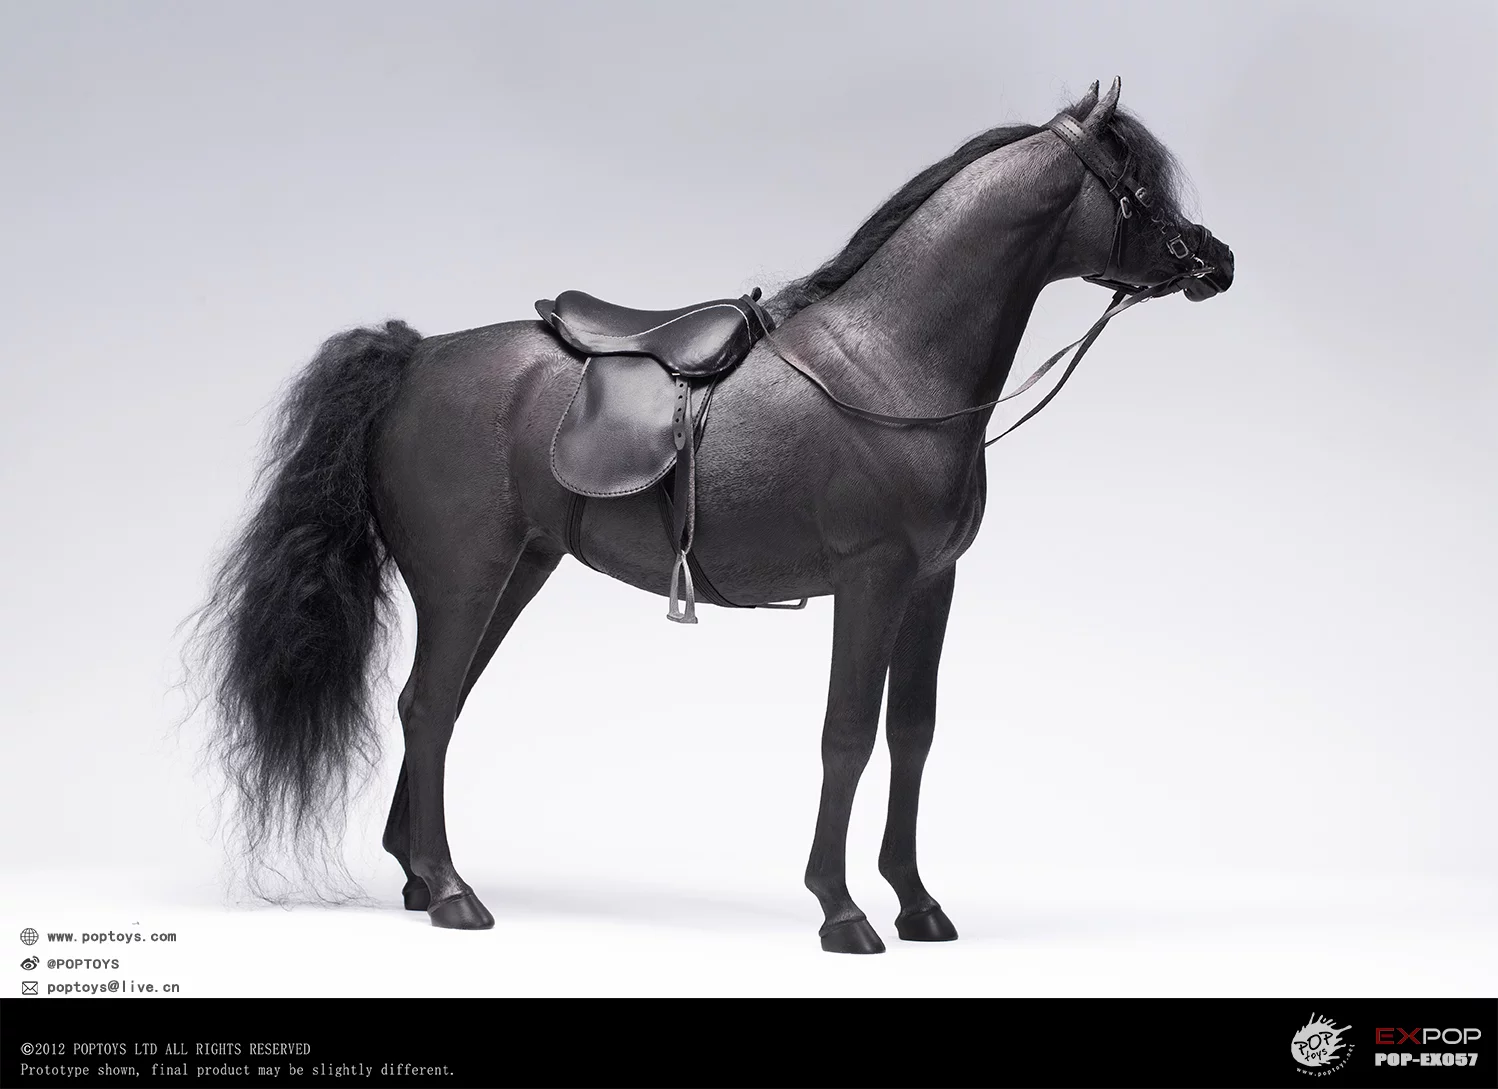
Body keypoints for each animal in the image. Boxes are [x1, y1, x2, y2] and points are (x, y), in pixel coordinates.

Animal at [192, 78, 1234, 953]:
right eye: (1138, 181)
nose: (1216, 259)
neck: (890, 365)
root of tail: (413, 355)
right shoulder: (872, 581)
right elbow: (847, 735)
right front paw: (842, 908)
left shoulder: (933, 584)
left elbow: (913, 733)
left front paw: (917, 900)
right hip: (464, 578)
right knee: (427, 703)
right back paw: (452, 891)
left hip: (514, 574)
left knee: (435, 709)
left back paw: (418, 877)